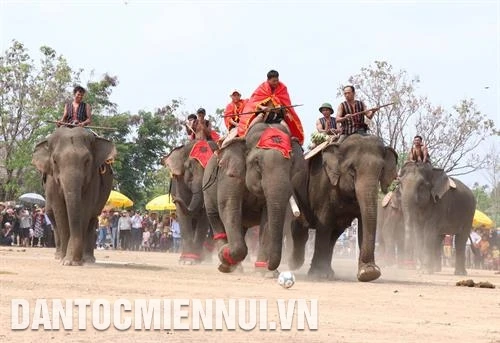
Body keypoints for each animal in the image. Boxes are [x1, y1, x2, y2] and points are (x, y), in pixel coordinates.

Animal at [31, 128, 116, 266]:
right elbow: (60, 210)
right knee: (51, 214)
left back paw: (88, 259)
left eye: (87, 160)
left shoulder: (93, 178)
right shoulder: (51, 180)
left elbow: (85, 208)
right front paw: (65, 260)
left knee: (93, 218)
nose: (74, 259)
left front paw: (71, 261)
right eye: (55, 161)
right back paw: (59, 256)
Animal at [203, 122, 308, 272]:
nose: (270, 267)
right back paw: (227, 263)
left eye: (291, 163)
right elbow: (228, 205)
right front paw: (224, 255)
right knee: (215, 218)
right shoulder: (229, 173)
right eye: (257, 162)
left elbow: (268, 218)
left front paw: (265, 272)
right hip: (207, 189)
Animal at [290, 134, 398, 282]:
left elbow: (363, 224)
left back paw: (327, 271)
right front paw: (319, 275)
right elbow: (324, 223)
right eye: (352, 170)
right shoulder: (324, 184)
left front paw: (368, 273)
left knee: (334, 234)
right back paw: (296, 264)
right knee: (299, 226)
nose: (374, 268)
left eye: (381, 170)